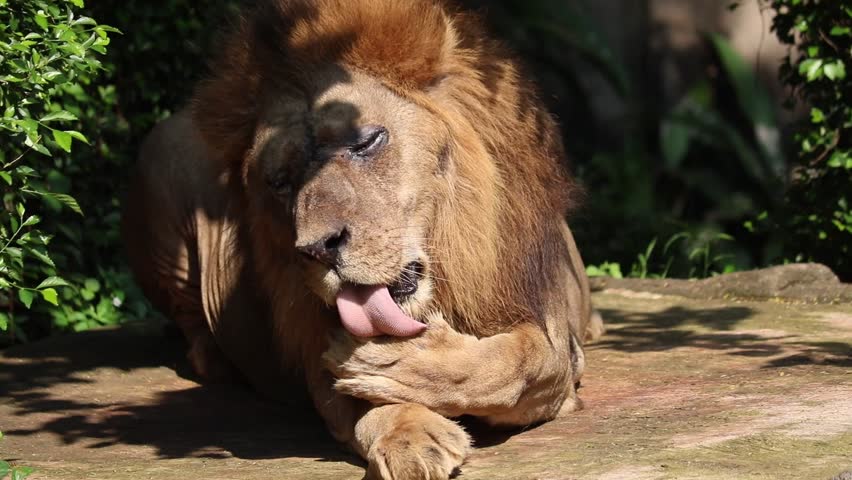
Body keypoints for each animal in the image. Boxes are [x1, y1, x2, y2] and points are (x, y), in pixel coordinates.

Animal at [121, 0, 603, 478]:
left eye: (366, 141)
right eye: (280, 182)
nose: (316, 249)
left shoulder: (556, 344)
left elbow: (514, 363)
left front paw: (394, 361)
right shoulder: (317, 356)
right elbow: (364, 404)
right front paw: (409, 436)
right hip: (161, 167)